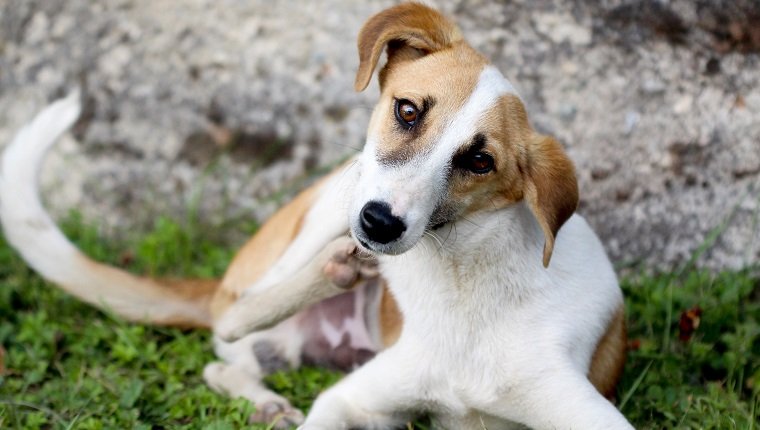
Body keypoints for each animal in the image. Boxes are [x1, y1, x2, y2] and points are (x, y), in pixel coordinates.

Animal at [1, 4, 628, 430]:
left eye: (480, 161)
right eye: (407, 110)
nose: (380, 224)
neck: (464, 283)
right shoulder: (351, 398)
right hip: (329, 203)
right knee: (231, 324)